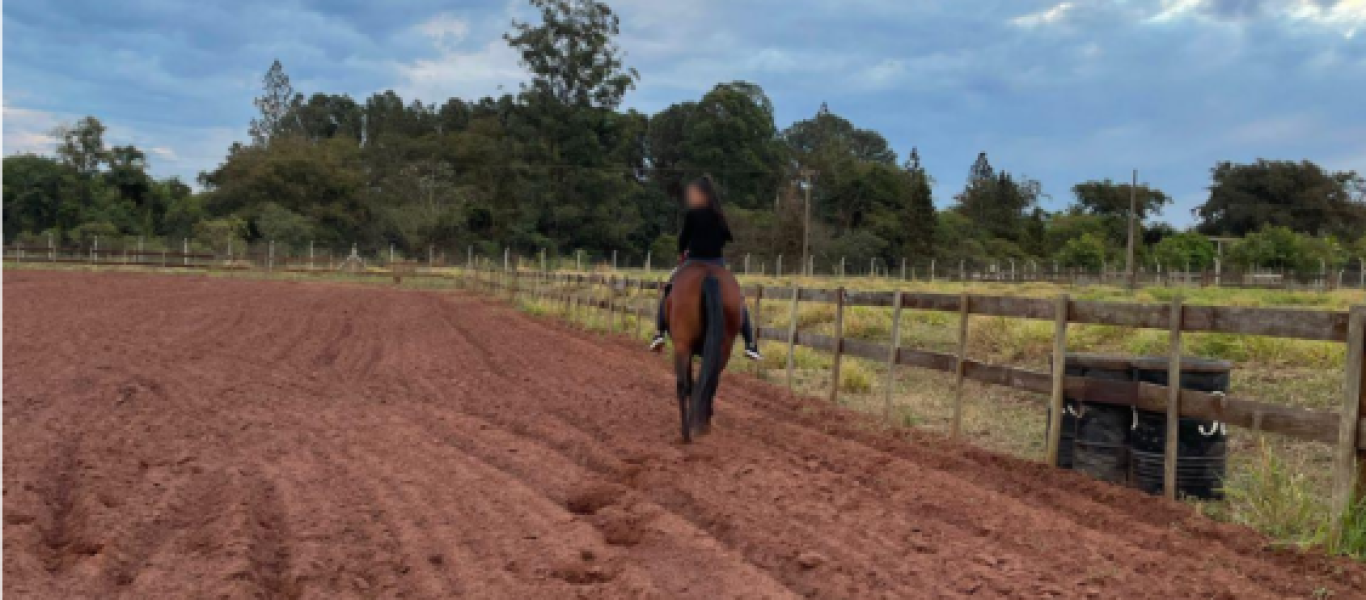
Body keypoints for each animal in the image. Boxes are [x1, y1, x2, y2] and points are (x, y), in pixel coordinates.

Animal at [663, 262, 743, 442]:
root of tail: (709, 274)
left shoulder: (685, 348)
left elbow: (689, 383)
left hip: (682, 346)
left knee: (683, 385)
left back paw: (686, 432)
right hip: (723, 349)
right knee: (711, 382)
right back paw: (702, 426)